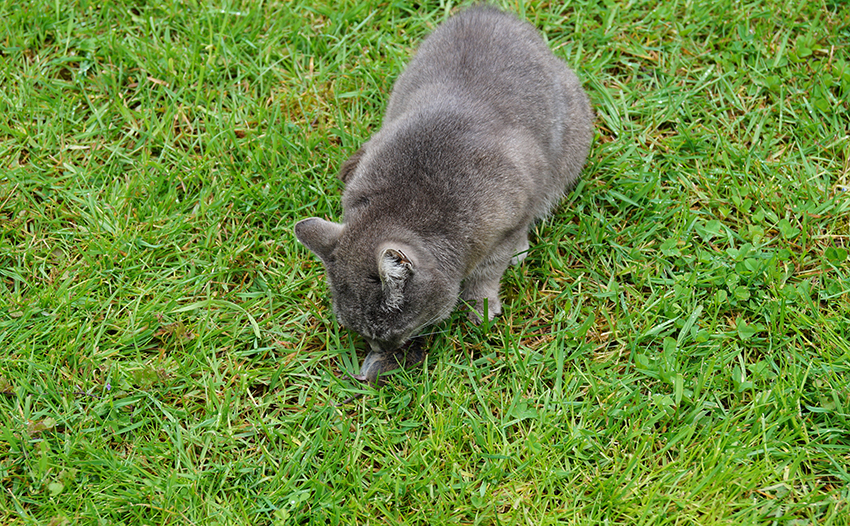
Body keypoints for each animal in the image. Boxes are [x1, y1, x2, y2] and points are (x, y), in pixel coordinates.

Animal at [292, 4, 588, 384]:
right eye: (363, 334)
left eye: (387, 333)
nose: (380, 351)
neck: (402, 206)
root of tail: (486, 10)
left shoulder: (511, 217)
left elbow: (488, 270)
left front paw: (481, 306)